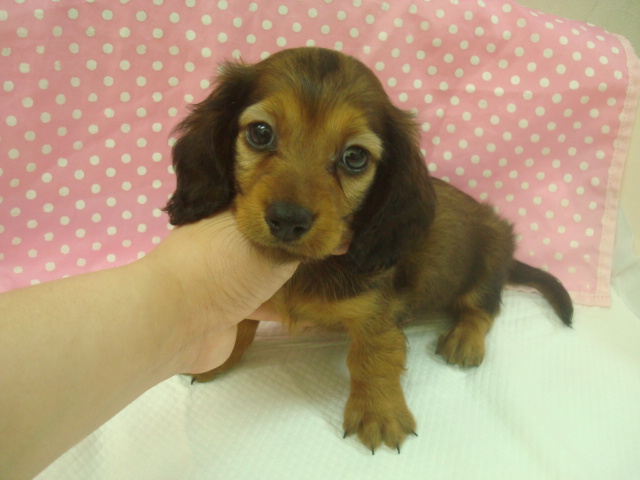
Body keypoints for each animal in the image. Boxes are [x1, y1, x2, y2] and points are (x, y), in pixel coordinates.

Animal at [164, 47, 573, 454]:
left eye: (355, 157)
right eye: (260, 133)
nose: (288, 220)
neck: (306, 267)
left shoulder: (377, 312)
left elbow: (371, 358)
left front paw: (379, 412)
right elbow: (241, 325)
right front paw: (220, 358)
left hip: (488, 258)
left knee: (483, 307)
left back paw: (464, 339)